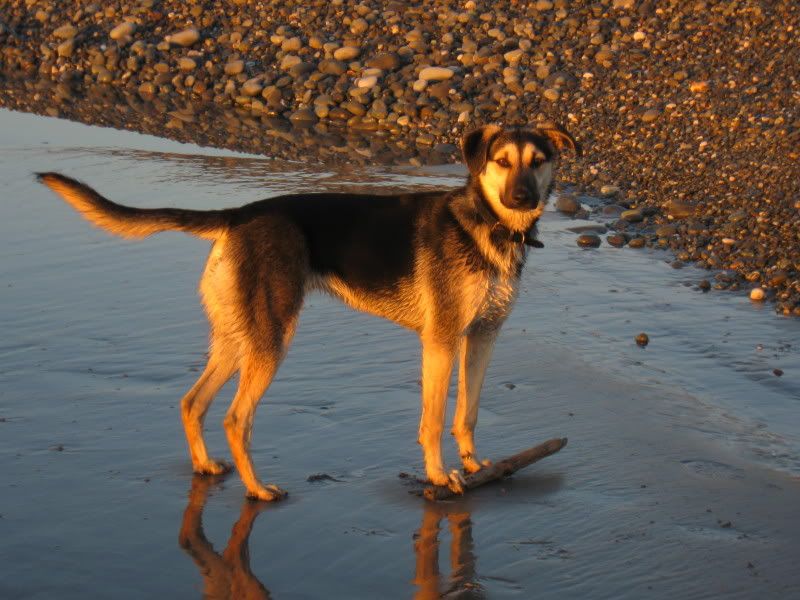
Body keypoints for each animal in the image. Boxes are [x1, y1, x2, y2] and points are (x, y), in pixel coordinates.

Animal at [37, 124, 580, 501]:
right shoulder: (442, 341)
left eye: (538, 161)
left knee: (193, 403)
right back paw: (258, 491)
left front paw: (472, 466)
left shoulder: (482, 337)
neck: (487, 223)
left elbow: (466, 414)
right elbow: (433, 419)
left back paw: (207, 467)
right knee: (235, 419)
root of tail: (237, 216)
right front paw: (439, 475)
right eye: (501, 162)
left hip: (239, 336)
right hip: (271, 336)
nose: (522, 197)